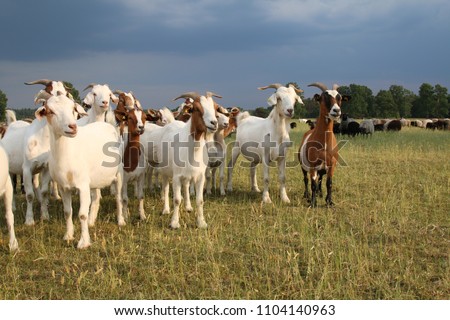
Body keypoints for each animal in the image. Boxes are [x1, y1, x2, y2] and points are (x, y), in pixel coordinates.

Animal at [37, 94, 124, 249]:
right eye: (50, 111)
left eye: (73, 108)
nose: (72, 127)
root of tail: (107, 125)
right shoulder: (63, 187)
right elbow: (67, 212)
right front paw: (68, 235)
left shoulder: (82, 186)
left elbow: (82, 214)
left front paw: (83, 242)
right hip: (95, 179)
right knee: (96, 198)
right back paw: (92, 221)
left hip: (119, 174)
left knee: (118, 198)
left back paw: (120, 221)